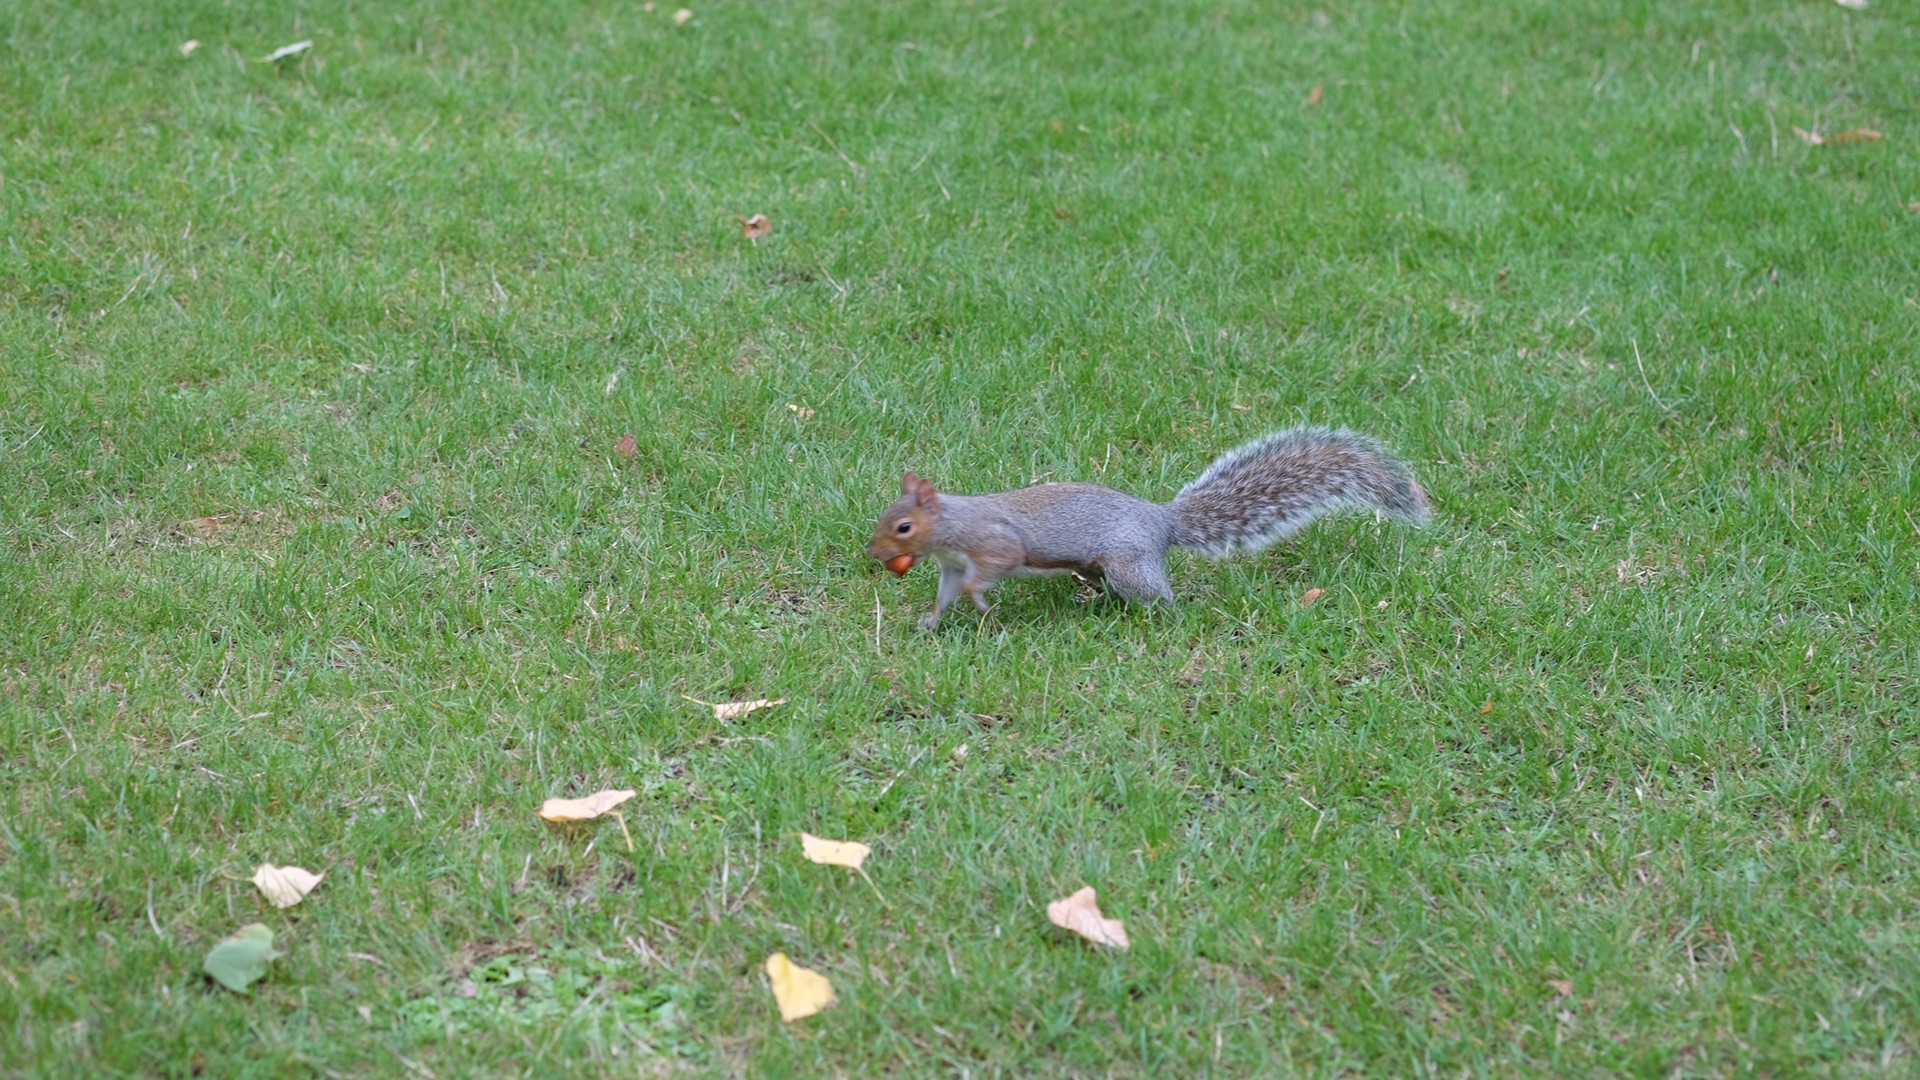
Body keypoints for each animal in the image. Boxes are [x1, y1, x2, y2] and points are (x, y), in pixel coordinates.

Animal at [867, 424, 1428, 626]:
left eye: (903, 527)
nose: (874, 553)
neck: (954, 522)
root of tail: (1162, 521)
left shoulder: (992, 544)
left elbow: (991, 571)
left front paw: (981, 603)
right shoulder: (950, 565)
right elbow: (945, 594)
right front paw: (930, 623)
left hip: (1128, 565)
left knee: (1158, 595)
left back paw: (1168, 615)